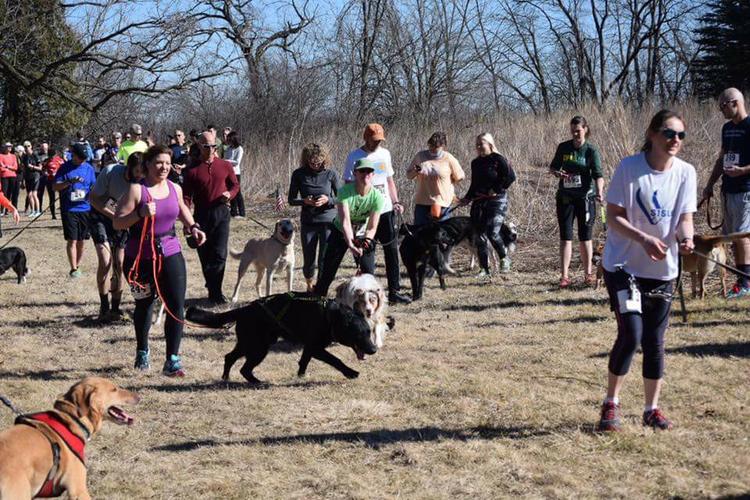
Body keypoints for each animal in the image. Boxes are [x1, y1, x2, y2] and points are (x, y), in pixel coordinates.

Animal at [186, 292, 378, 384]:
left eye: (369, 332)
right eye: (359, 335)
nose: (374, 349)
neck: (331, 316)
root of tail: (244, 309)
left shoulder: (310, 347)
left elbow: (304, 361)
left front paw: (300, 376)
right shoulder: (316, 348)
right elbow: (335, 360)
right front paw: (350, 372)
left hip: (250, 344)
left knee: (229, 357)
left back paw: (226, 377)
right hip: (258, 348)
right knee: (244, 369)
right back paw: (258, 382)